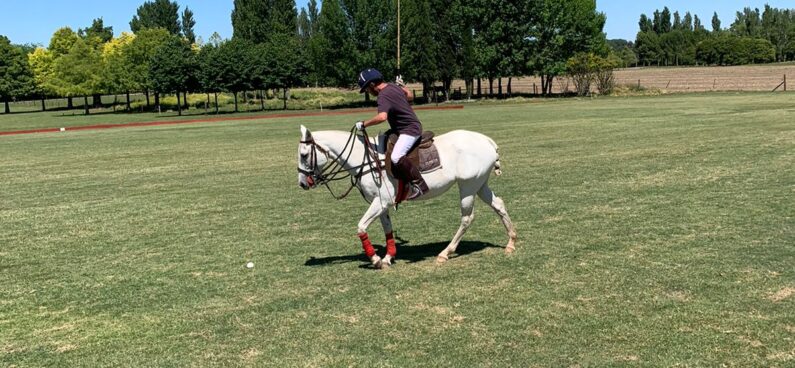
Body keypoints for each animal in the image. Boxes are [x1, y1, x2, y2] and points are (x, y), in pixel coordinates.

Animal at [298, 126, 516, 268]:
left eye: (303, 154)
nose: (302, 183)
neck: (365, 159)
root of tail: (487, 141)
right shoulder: (382, 203)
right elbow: (388, 229)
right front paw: (388, 257)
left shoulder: (381, 201)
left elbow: (361, 226)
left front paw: (375, 260)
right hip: (480, 183)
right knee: (499, 204)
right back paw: (511, 242)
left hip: (468, 185)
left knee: (467, 218)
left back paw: (445, 253)